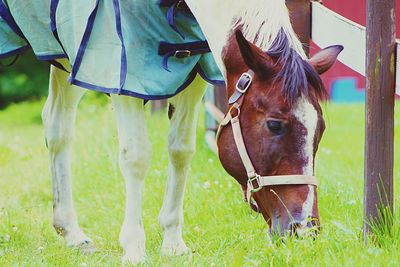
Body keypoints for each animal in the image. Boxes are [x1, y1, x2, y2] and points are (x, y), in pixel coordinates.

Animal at [0, 0, 344, 264]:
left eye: (320, 129)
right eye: (275, 124)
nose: (304, 229)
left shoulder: (193, 72)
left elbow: (181, 150)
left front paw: (173, 243)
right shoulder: (122, 73)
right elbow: (137, 158)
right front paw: (134, 248)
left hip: (64, 56)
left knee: (57, 126)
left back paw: (71, 233)